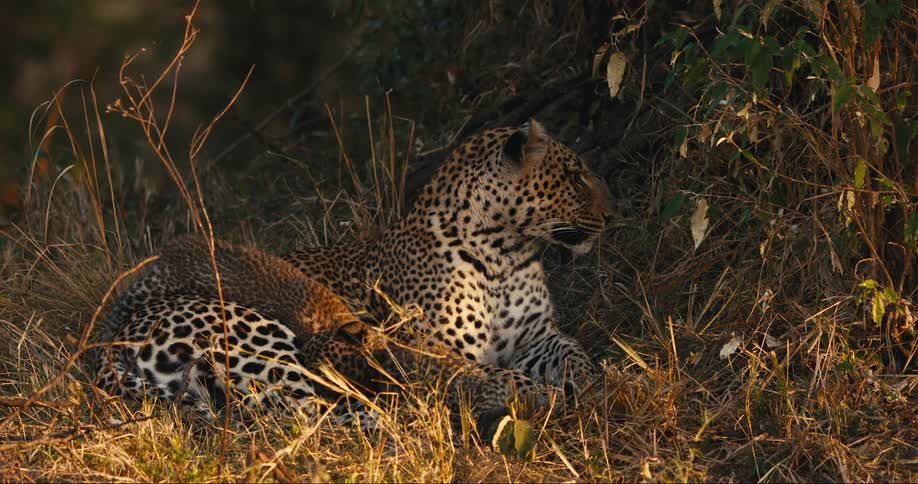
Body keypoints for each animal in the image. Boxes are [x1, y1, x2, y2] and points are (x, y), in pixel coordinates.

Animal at [285, 119, 613, 392]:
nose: (612, 214)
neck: (504, 255)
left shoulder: (536, 337)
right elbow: (505, 378)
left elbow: (571, 349)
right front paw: (549, 396)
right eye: (575, 177)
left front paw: (591, 383)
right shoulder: (431, 354)